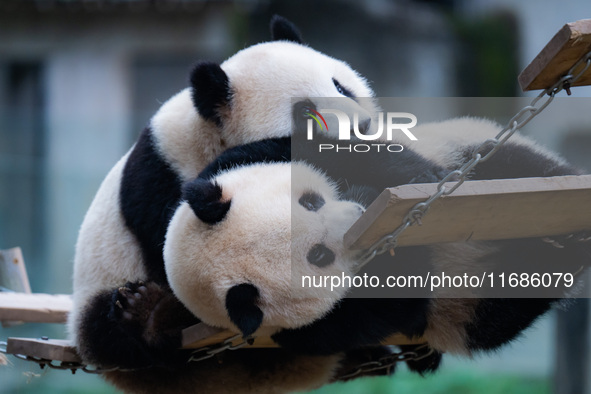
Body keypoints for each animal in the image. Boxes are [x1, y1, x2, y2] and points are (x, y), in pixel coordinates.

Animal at [70, 15, 380, 370]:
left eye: (342, 87)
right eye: (304, 112)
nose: (363, 127)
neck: (212, 132)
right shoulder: (161, 181)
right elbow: (169, 248)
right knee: (108, 328)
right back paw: (148, 315)